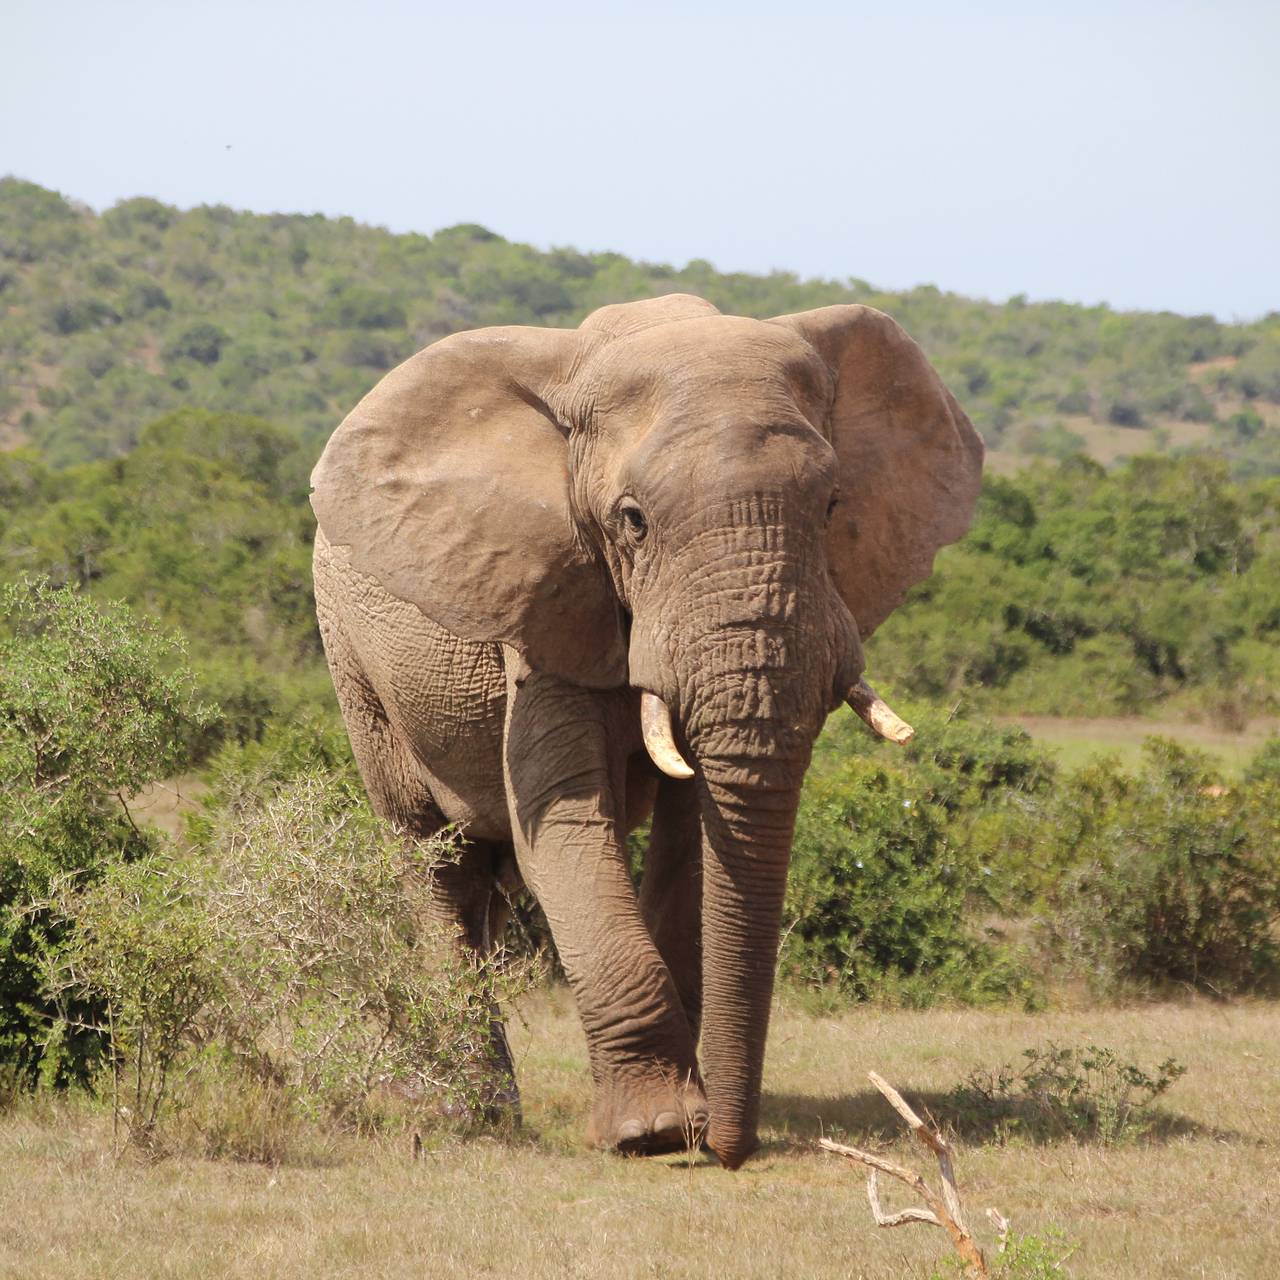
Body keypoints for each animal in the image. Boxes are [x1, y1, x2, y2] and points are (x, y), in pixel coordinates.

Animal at [309, 293, 983, 1169]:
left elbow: (694, 837)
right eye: (632, 521)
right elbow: (562, 818)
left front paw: (677, 1118)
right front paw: (655, 1133)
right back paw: (468, 1114)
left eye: (834, 507)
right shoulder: (544, 591)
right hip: (353, 660)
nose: (732, 1148)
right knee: (435, 861)